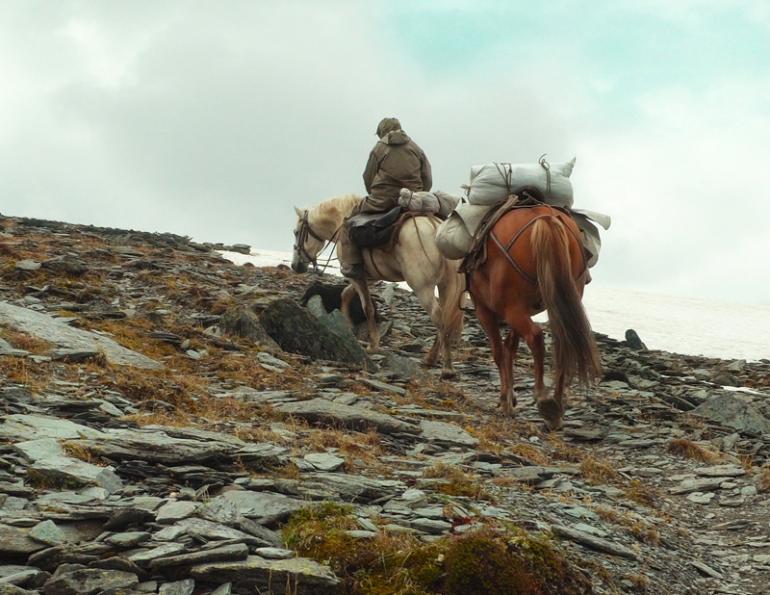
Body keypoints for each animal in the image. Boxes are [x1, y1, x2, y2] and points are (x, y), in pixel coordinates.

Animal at [291, 194, 464, 377]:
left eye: (296, 232)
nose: (295, 265)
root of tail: (435, 226)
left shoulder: (356, 275)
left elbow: (367, 307)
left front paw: (372, 344)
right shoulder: (368, 276)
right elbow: (346, 294)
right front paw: (347, 323)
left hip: (423, 288)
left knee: (439, 317)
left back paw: (447, 367)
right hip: (446, 286)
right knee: (446, 317)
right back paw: (431, 359)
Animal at [470, 204, 601, 430]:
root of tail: (546, 217)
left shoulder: (484, 309)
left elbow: (499, 352)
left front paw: (506, 400)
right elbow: (510, 347)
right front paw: (511, 396)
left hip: (511, 307)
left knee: (535, 336)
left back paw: (543, 398)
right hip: (563, 294)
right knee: (561, 343)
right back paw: (556, 407)